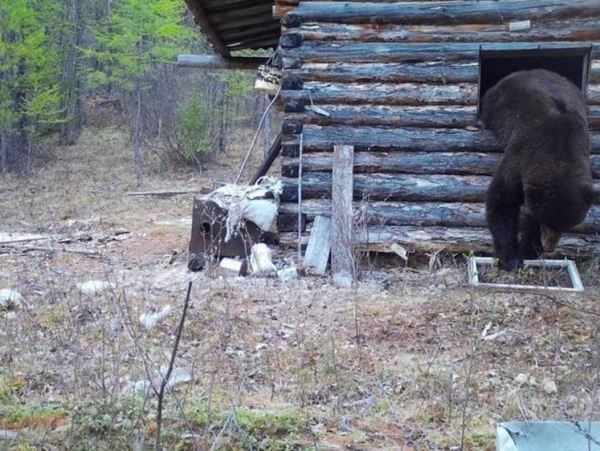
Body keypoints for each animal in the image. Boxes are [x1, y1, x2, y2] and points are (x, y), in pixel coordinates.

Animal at [480, 69, 592, 270]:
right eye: (548, 222)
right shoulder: (521, 154)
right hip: (493, 101)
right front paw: (511, 258)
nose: (549, 246)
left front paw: (530, 249)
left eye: (568, 224)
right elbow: (502, 200)